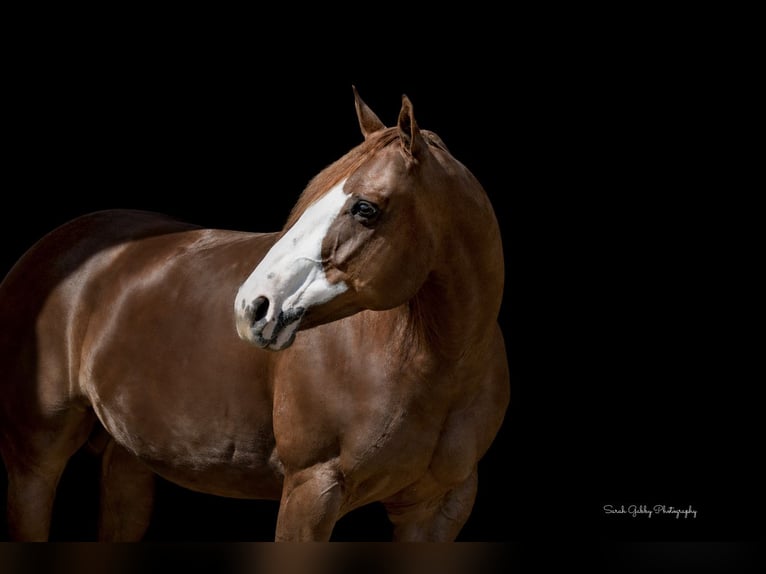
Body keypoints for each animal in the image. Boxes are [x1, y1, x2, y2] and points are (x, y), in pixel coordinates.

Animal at [0, 86, 509, 542]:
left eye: (365, 207)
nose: (253, 306)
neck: (429, 363)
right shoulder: (311, 491)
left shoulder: (438, 507)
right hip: (35, 462)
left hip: (128, 459)